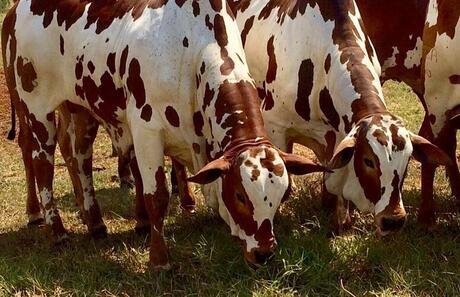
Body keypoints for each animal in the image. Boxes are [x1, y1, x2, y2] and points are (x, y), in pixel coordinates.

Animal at [0, 0, 328, 266]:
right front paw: (159, 259)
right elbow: (156, 195)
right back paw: (55, 229)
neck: (195, 51)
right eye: (240, 195)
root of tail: (19, 8)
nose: (264, 252)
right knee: (42, 162)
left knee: (80, 158)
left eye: (282, 194)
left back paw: (95, 223)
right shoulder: (147, 131)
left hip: (80, 108)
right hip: (36, 107)